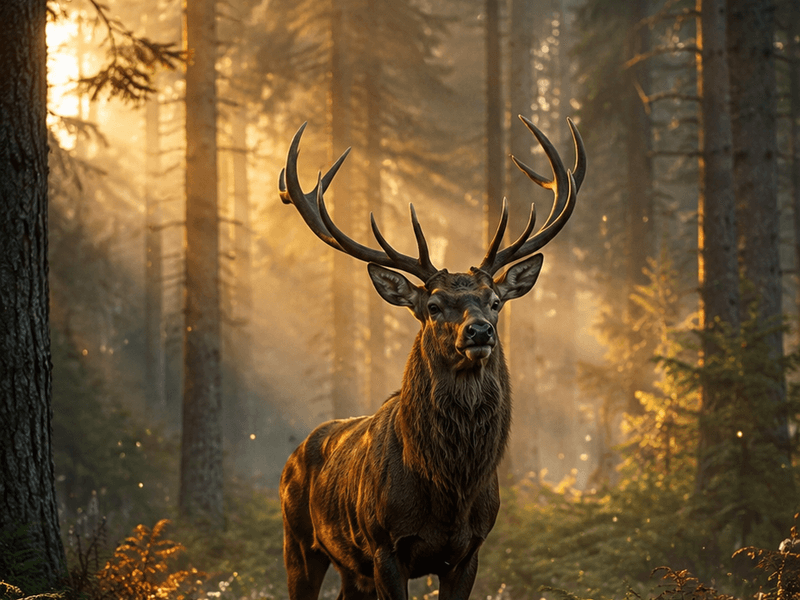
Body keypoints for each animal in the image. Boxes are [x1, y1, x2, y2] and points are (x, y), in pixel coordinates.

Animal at [277, 115, 585, 600]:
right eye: (434, 306)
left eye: (495, 301)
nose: (479, 331)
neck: (450, 489)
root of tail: (293, 456)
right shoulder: (385, 546)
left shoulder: (469, 550)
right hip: (299, 540)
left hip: (351, 568)